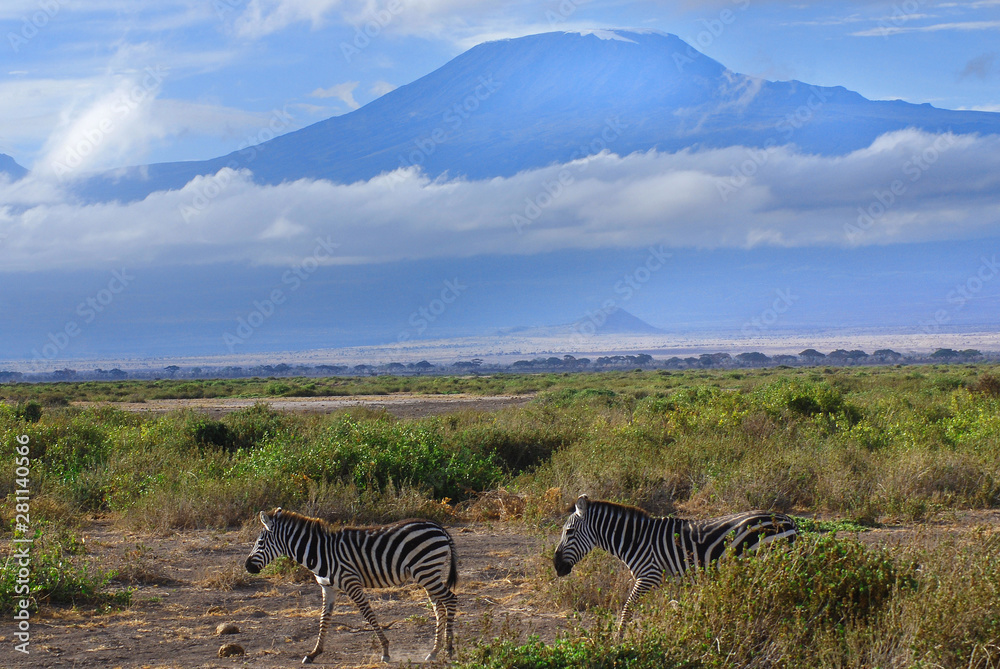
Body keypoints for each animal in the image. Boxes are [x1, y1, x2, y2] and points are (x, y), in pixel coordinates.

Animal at [245, 508, 458, 664]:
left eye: (260, 542)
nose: (247, 566)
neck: (320, 552)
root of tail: (439, 527)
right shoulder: (328, 588)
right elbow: (324, 619)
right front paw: (314, 653)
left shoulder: (351, 582)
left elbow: (368, 615)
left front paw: (385, 650)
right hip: (427, 574)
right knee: (439, 607)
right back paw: (434, 651)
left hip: (426, 571)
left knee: (451, 599)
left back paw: (449, 649)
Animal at [553, 494, 797, 639]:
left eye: (569, 532)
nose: (556, 566)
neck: (637, 540)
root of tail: (789, 520)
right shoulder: (673, 580)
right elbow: (677, 607)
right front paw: (685, 631)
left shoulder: (649, 576)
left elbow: (628, 607)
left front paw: (618, 639)